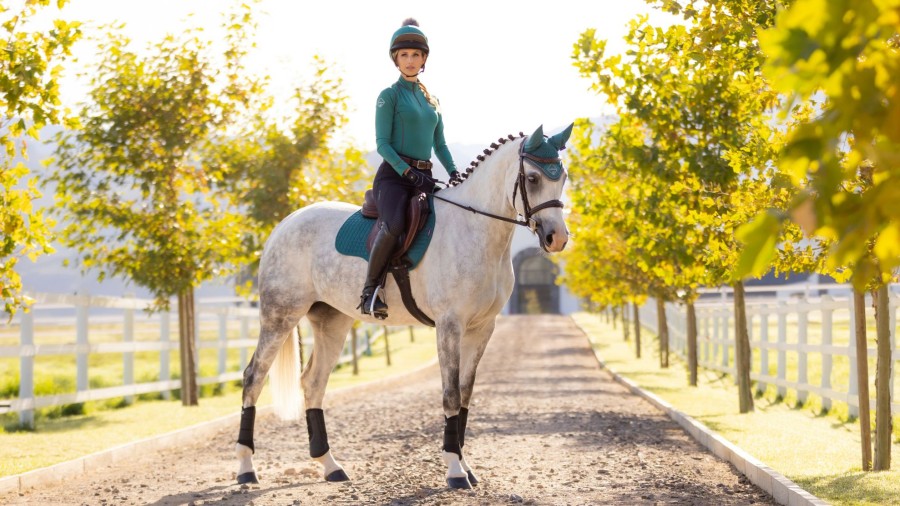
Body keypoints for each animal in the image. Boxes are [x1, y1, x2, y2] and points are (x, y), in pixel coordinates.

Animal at [232, 123, 568, 490]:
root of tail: (284, 223)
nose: (557, 238)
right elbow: (450, 394)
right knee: (253, 378)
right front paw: (454, 471)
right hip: (280, 316)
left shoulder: (482, 328)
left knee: (313, 383)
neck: (476, 231)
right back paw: (246, 469)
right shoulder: (449, 325)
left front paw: (466, 467)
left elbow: (465, 395)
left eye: (562, 176)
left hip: (331, 322)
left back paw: (331, 466)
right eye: (533, 178)